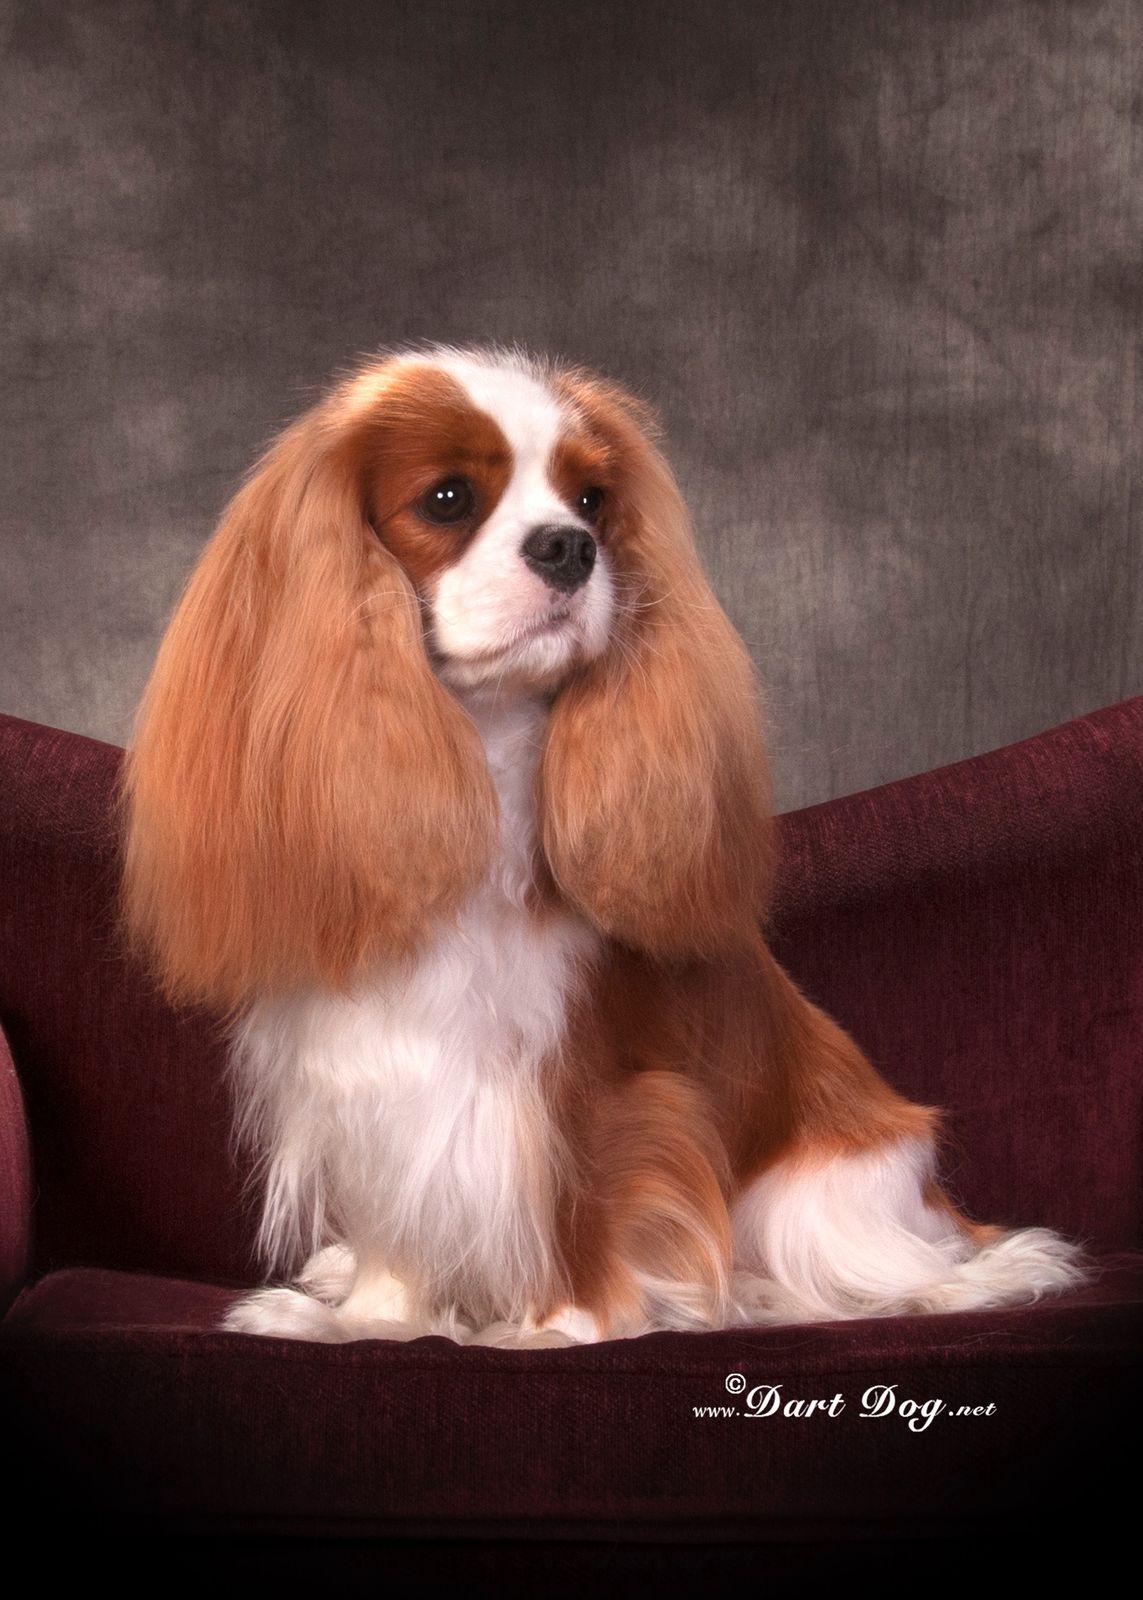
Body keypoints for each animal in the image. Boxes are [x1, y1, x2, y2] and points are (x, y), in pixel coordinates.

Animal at [121, 345, 1084, 1344]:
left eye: (589, 501)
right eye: (447, 498)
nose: (568, 547)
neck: (482, 759)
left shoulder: (593, 1079)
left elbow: (579, 1198)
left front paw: (559, 1327)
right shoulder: (384, 1083)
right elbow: (401, 1228)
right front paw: (376, 1319)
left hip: (822, 1199)